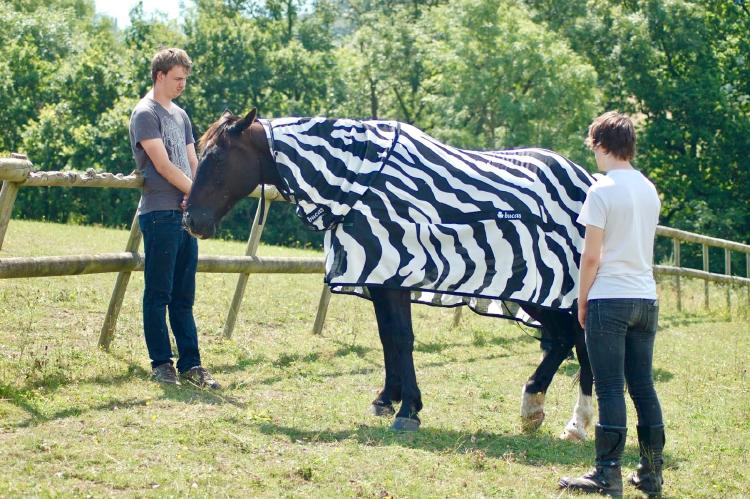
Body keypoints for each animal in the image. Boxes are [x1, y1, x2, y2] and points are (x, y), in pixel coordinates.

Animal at [187, 109, 592, 438]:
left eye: (217, 157)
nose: (191, 220)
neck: (360, 183)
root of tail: (585, 180)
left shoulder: (396, 274)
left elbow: (401, 337)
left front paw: (409, 409)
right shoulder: (379, 278)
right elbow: (387, 338)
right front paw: (387, 398)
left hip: (552, 290)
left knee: (577, 342)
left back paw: (573, 420)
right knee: (564, 340)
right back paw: (538, 409)